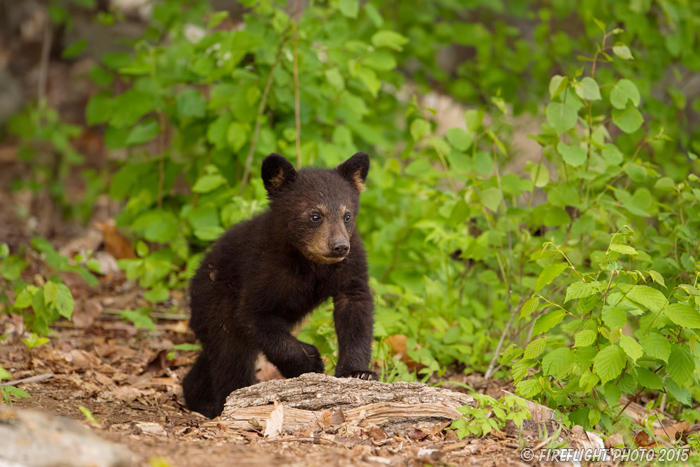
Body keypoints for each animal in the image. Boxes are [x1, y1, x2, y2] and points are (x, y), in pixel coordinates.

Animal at [182, 152, 378, 418]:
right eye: (315, 215)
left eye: (347, 215)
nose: (339, 246)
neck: (309, 262)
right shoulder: (263, 269)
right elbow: (256, 316)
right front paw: (311, 361)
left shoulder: (350, 266)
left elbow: (356, 309)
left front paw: (358, 372)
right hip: (216, 298)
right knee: (229, 353)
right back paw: (228, 398)